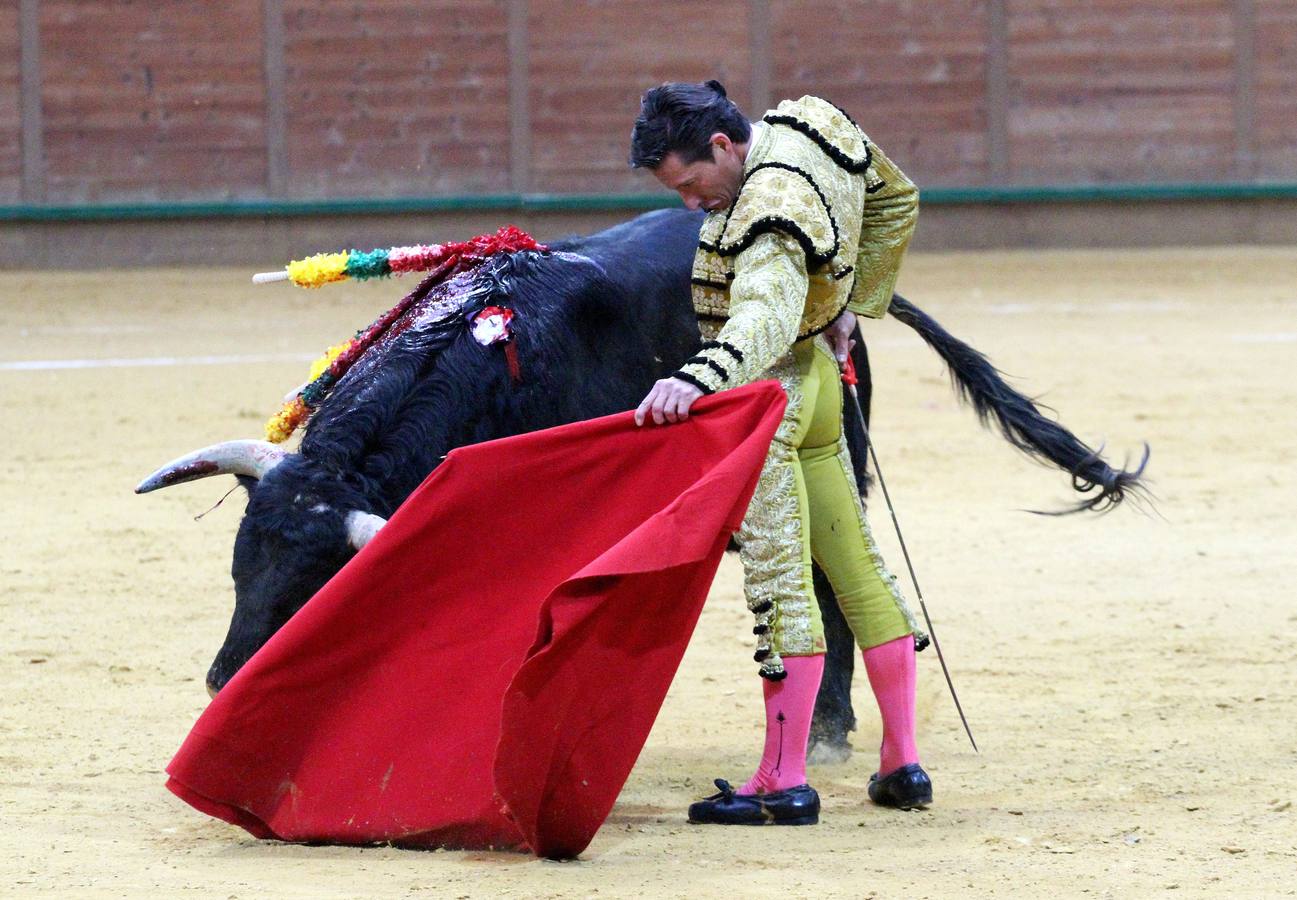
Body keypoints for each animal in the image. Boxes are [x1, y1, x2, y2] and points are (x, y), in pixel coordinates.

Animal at [139, 207, 1146, 757]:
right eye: (240, 569)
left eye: (313, 586)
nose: (225, 680)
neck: (483, 359)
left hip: (837, 462)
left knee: (831, 578)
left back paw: (825, 730)